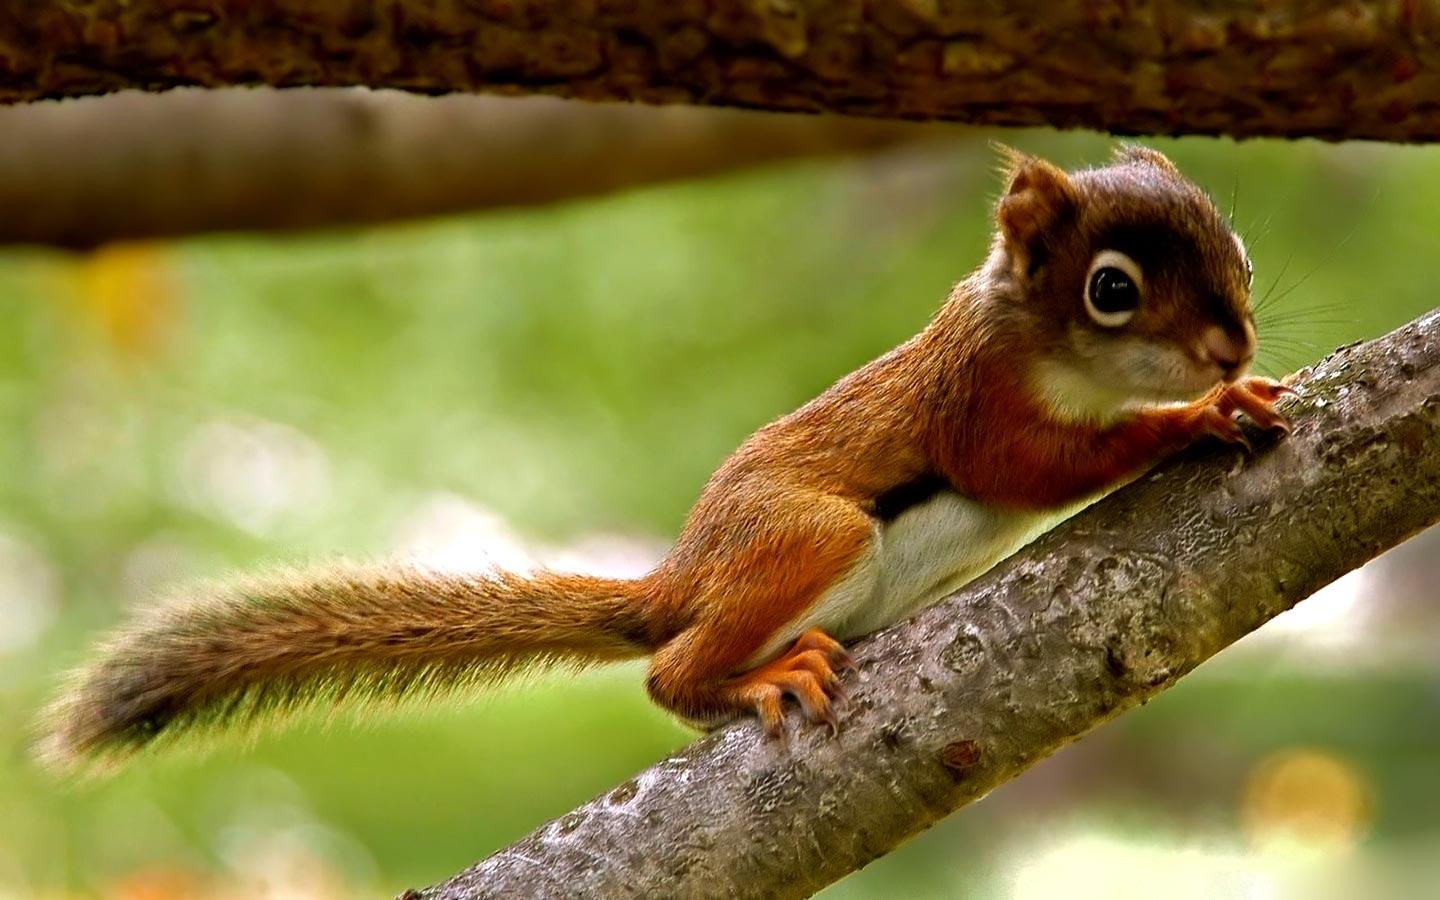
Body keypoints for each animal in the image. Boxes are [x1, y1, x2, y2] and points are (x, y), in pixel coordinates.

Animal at [39, 145, 1290, 770]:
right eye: (1112, 289)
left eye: (1232, 238)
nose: (1233, 340)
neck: (1034, 337)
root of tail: (678, 580)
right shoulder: (976, 407)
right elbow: (1034, 468)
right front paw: (1192, 416)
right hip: (811, 535)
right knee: (667, 675)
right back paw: (747, 675)